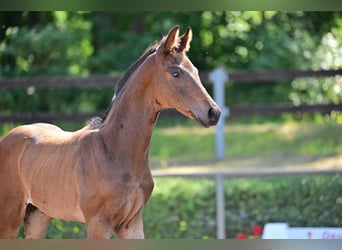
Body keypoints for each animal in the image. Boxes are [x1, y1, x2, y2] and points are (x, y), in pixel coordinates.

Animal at [0, 25, 219, 238]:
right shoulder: (98, 224)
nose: (213, 112)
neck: (114, 149)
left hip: (39, 215)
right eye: (175, 73)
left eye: (196, 71)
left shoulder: (132, 224)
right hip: (10, 216)